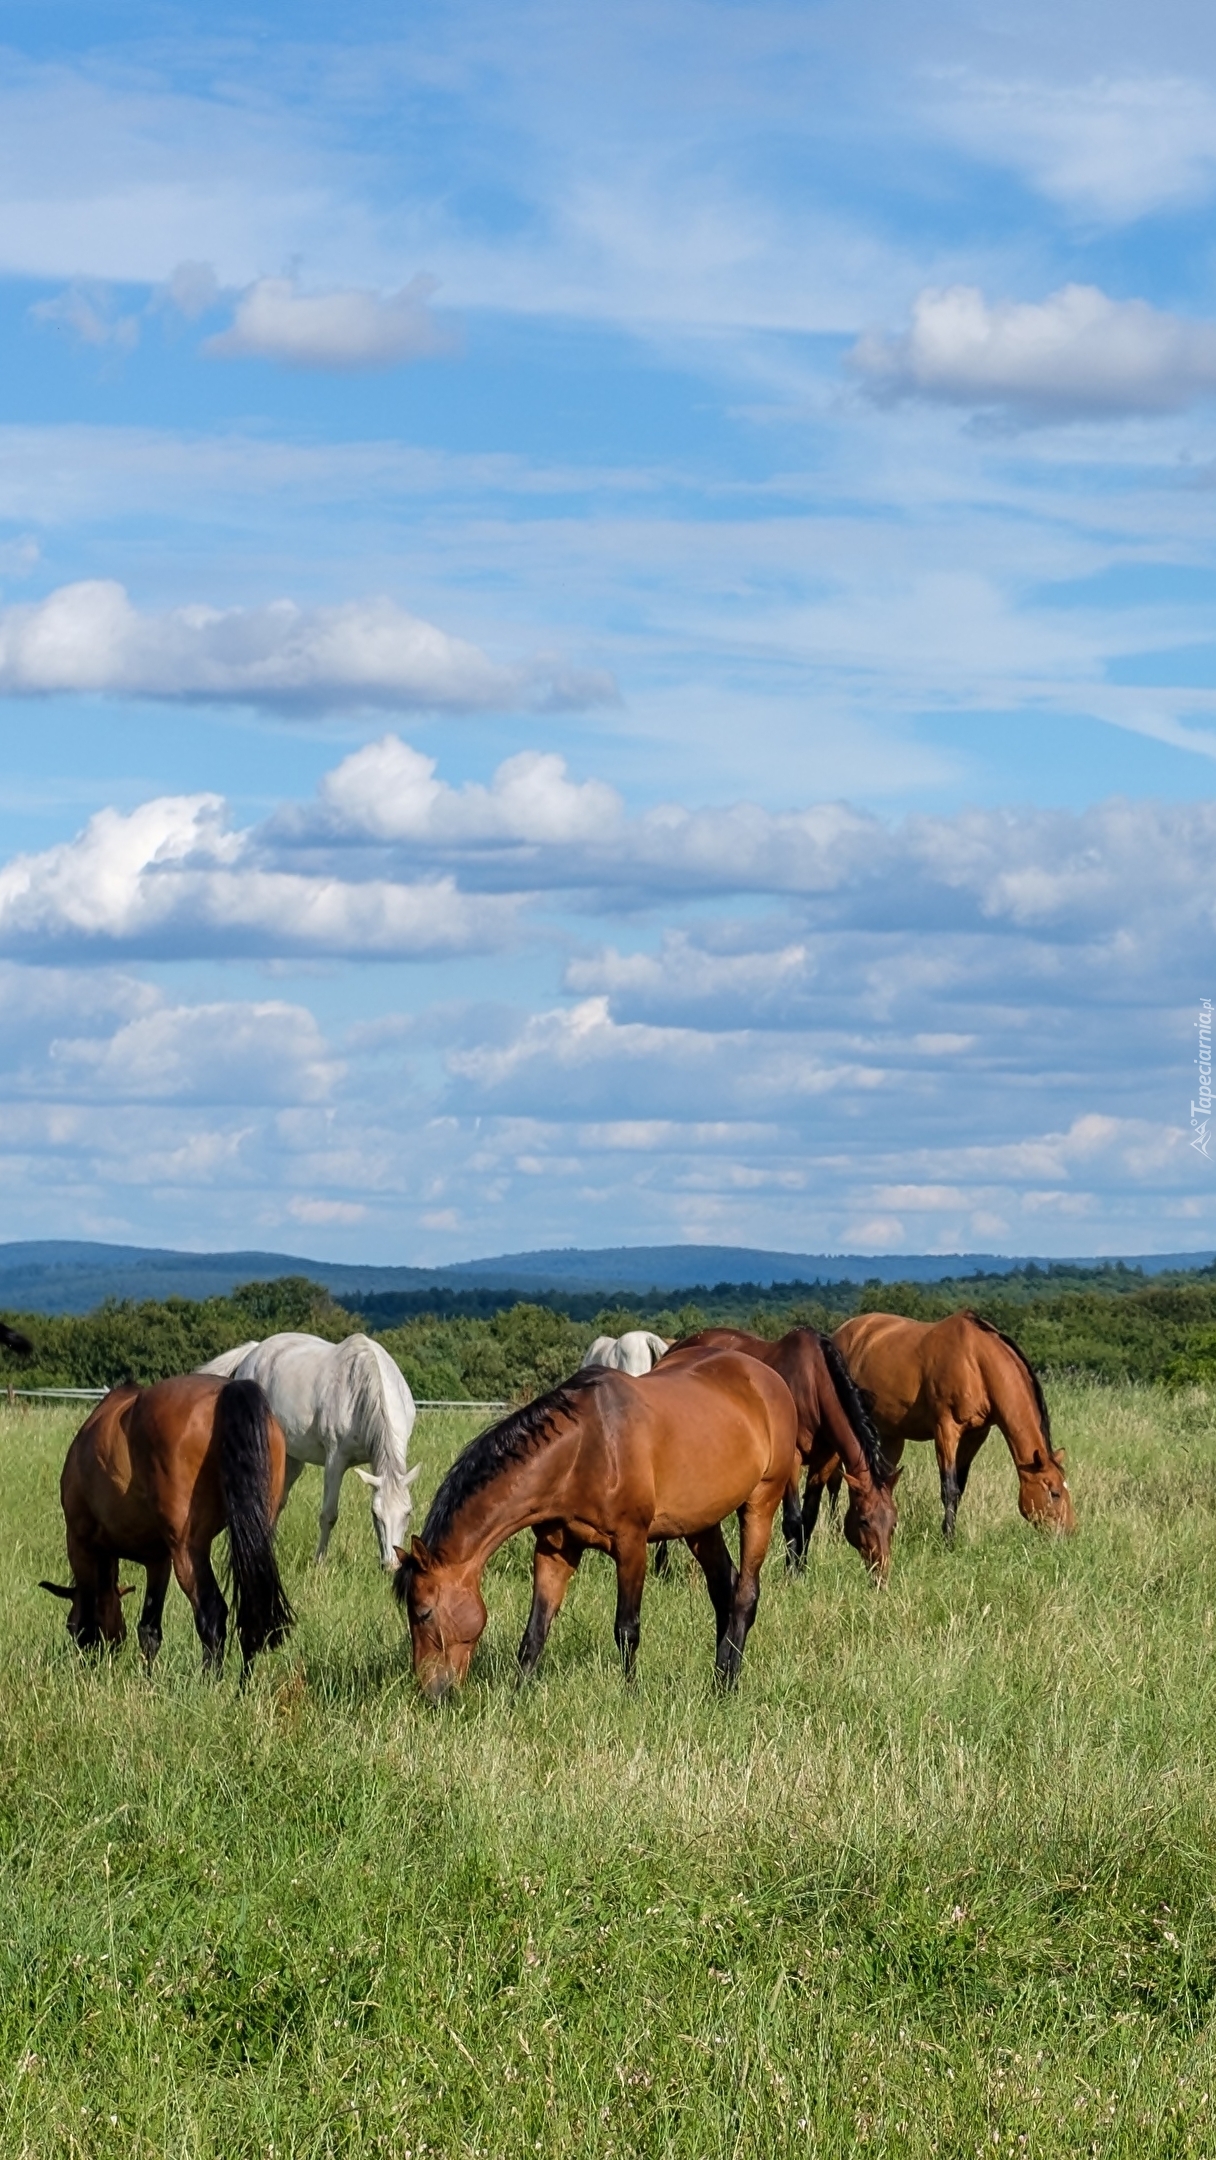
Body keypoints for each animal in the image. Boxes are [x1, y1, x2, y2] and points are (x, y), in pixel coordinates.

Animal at [40, 1373, 295, 1676]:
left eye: (69, 1627)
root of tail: (227, 1390)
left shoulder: (80, 1545)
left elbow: (91, 1620)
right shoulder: (158, 1561)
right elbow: (149, 1629)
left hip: (188, 1550)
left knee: (212, 1613)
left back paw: (210, 1681)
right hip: (252, 1539)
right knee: (252, 1611)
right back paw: (243, 1684)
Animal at [192, 1330, 416, 1572]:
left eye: (408, 1512)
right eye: (376, 1515)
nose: (392, 1566)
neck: (360, 1390)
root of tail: (254, 1351)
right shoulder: (335, 1461)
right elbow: (329, 1515)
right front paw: (319, 1563)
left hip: (291, 1458)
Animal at [395, 1356, 803, 1693]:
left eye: (423, 1613)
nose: (432, 1692)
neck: (586, 1449)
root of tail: (769, 1378)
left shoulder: (632, 1544)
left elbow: (627, 1629)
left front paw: (631, 1695)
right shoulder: (555, 1550)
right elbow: (535, 1632)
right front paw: (516, 1697)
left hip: (761, 1503)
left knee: (745, 1594)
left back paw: (728, 1684)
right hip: (702, 1525)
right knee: (724, 1589)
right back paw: (719, 1677)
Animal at [652, 1321, 898, 1581]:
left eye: (893, 1522)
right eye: (864, 1521)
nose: (881, 1576)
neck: (813, 1383)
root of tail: (672, 1349)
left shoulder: (825, 1461)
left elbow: (809, 1517)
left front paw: (802, 1567)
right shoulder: (792, 1460)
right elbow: (793, 1519)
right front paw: (791, 1573)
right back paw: (662, 1566)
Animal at [829, 1304, 1075, 1546]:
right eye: (1054, 1492)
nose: (1069, 1533)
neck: (975, 1362)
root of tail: (841, 1333)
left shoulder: (975, 1435)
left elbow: (960, 1487)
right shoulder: (946, 1430)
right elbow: (948, 1487)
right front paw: (948, 1540)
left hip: (891, 1435)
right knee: (834, 1481)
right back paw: (835, 1532)